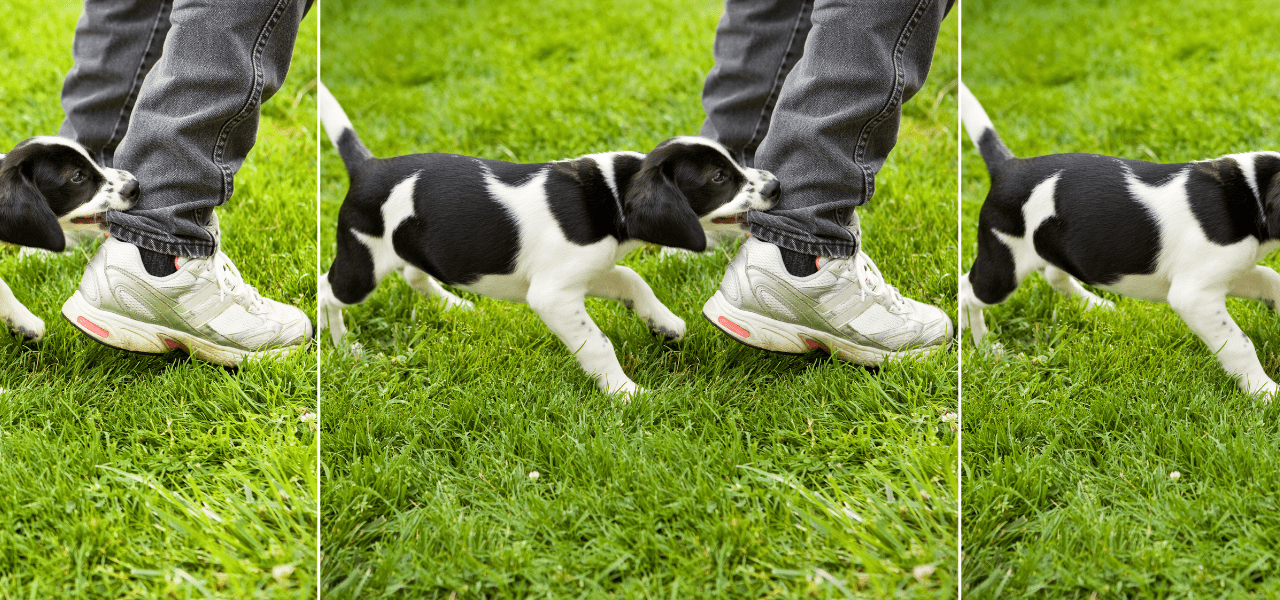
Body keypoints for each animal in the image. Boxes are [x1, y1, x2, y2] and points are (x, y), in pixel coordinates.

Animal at [320, 81, 778, 394]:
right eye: (718, 178)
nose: (776, 186)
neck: (612, 193)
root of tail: (368, 167)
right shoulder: (553, 294)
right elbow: (597, 344)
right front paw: (625, 392)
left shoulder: (589, 270)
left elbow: (633, 279)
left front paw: (663, 322)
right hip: (362, 265)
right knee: (328, 290)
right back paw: (344, 347)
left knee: (414, 274)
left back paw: (455, 305)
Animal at [957, 80, 1280, 396]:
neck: (1251, 193)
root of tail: (1009, 167)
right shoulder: (1194, 294)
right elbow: (1239, 344)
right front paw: (1263, 391)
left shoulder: (1229, 272)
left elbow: (1270, 278)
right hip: (1003, 268)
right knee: (967, 289)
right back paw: (984, 345)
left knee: (1053, 273)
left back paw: (1095, 305)